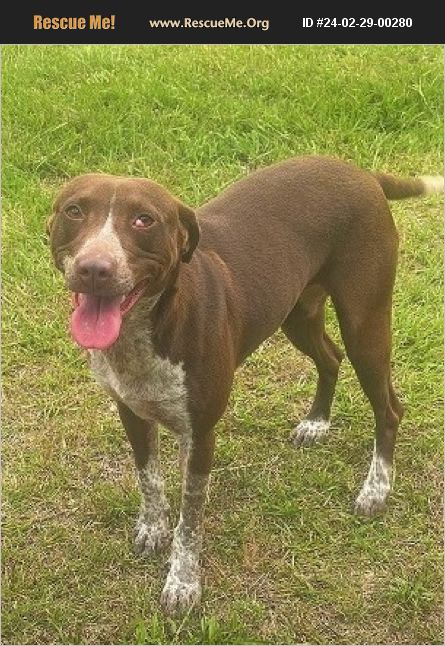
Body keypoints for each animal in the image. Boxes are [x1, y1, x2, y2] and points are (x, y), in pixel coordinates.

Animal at [47, 156, 443, 614]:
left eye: (144, 219)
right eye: (75, 210)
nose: (94, 269)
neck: (152, 325)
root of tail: (362, 172)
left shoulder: (200, 434)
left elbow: (191, 518)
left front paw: (183, 583)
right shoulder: (131, 410)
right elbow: (149, 478)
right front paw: (153, 527)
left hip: (365, 322)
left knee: (389, 407)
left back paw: (377, 488)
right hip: (297, 314)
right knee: (330, 358)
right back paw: (317, 422)